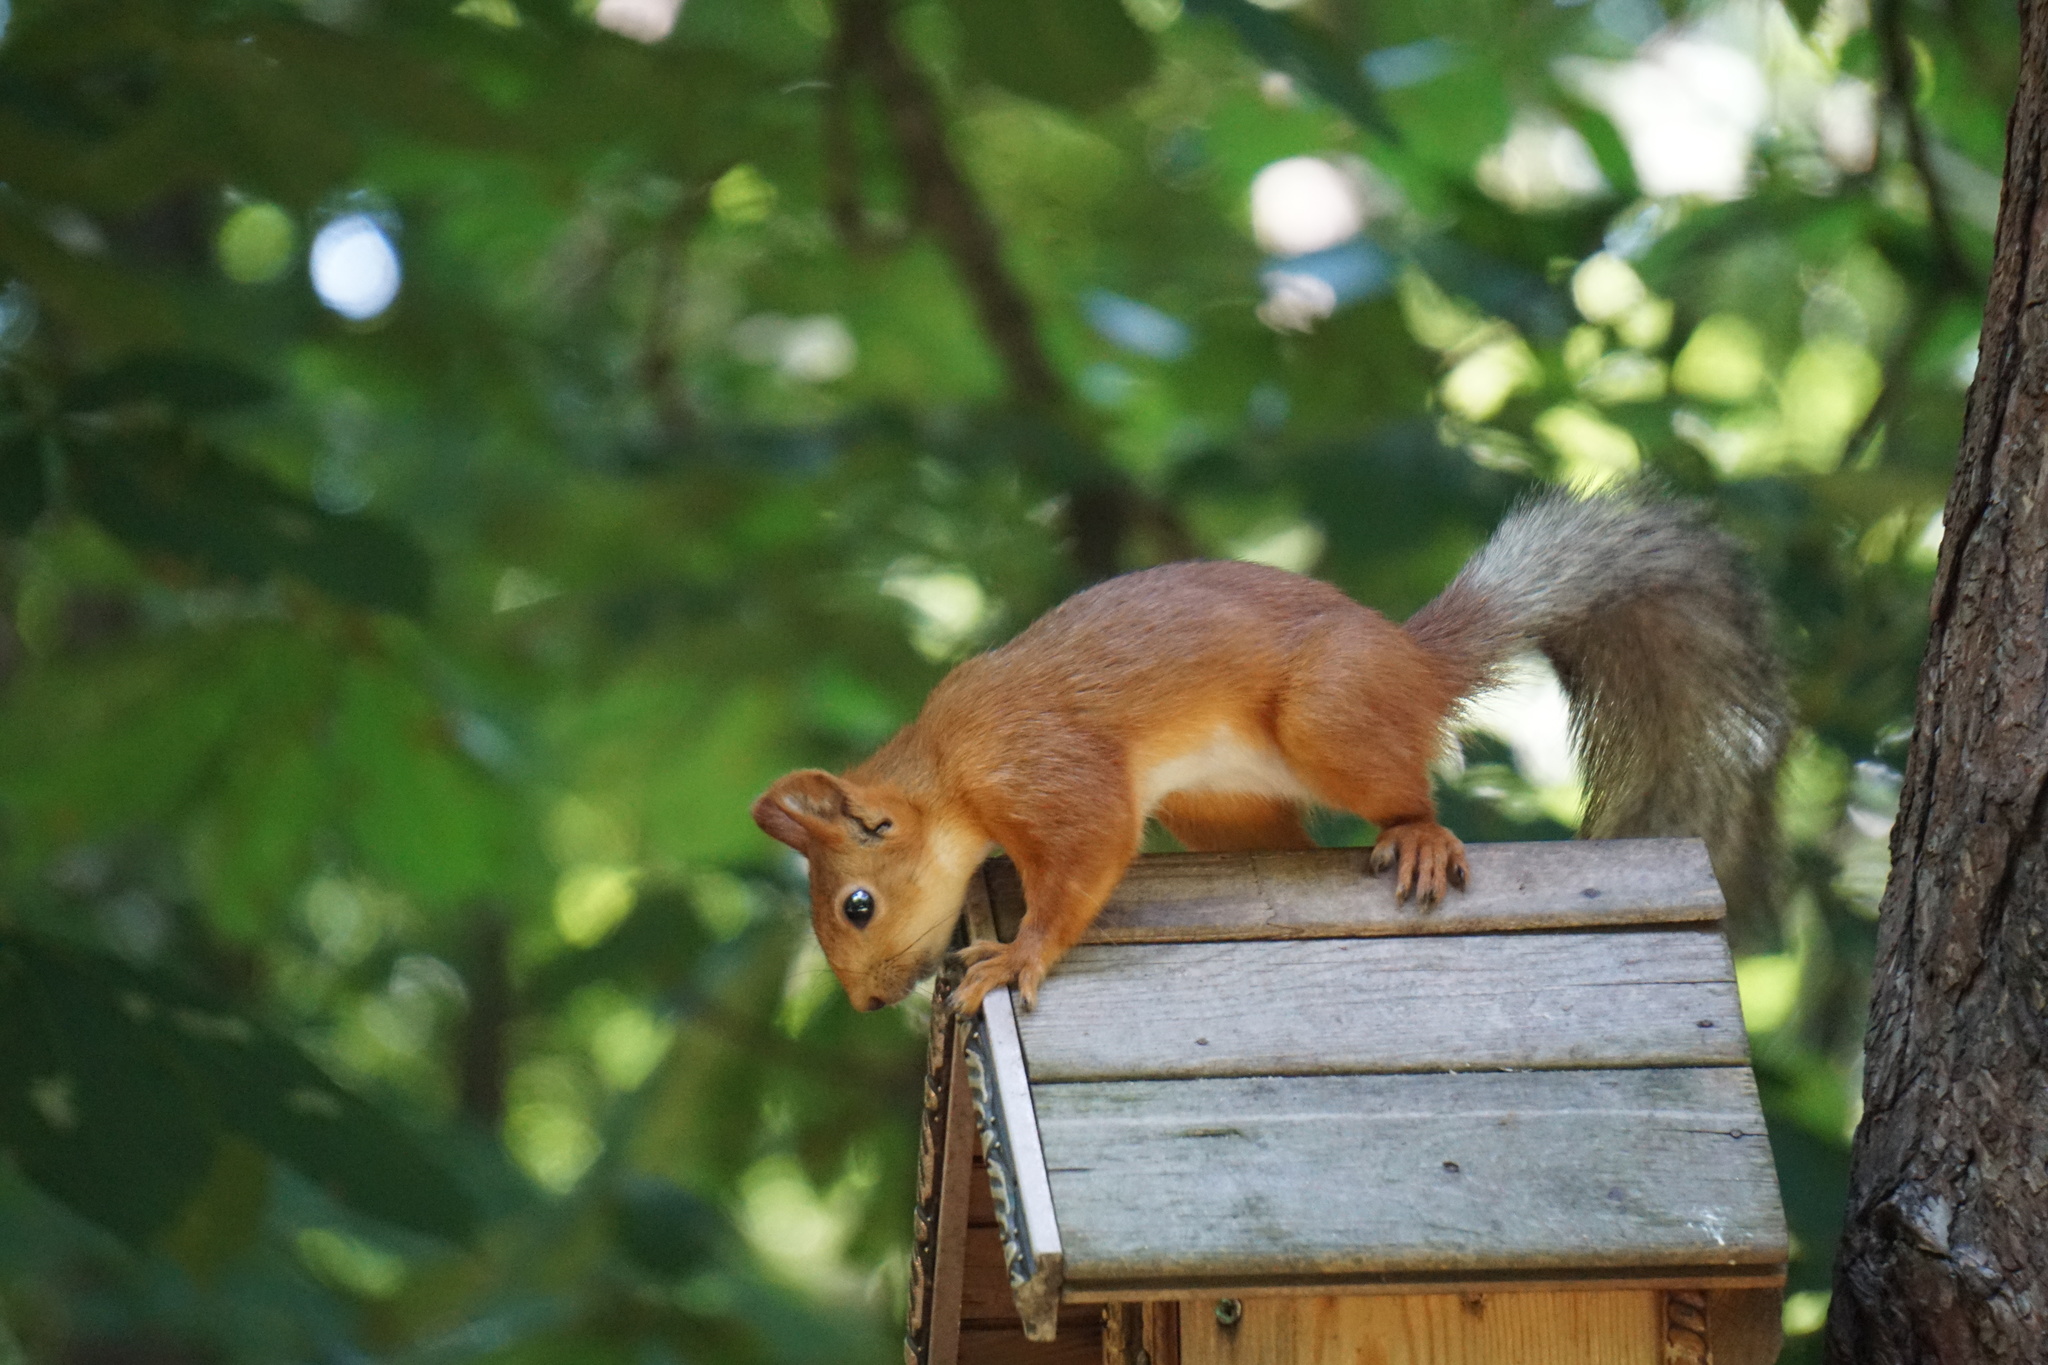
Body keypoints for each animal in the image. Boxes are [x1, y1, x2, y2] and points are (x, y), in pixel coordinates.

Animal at [757, 491, 1794, 1015]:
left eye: (856, 905)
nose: (868, 1003)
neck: (948, 765)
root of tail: (1412, 660)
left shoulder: (1044, 765)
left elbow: (1089, 853)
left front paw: (1014, 957)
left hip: (1330, 715)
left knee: (1410, 792)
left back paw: (1421, 837)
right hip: (1216, 802)